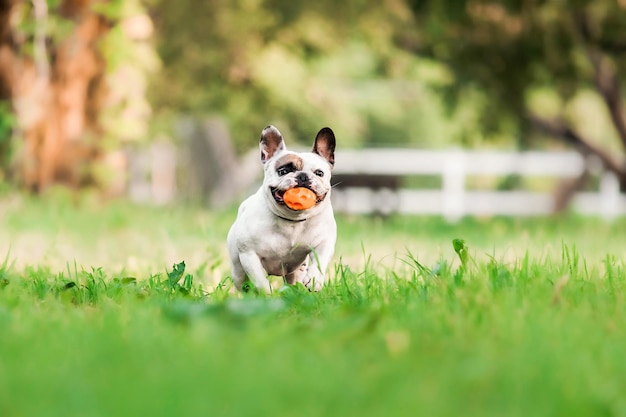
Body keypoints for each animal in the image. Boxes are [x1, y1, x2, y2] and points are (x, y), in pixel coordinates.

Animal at [227, 125, 336, 290]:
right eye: (283, 171)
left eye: (319, 173)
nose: (303, 176)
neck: (293, 220)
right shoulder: (249, 254)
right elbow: (260, 281)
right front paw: (266, 293)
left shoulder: (324, 242)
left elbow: (320, 260)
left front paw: (314, 279)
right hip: (237, 269)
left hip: (295, 271)